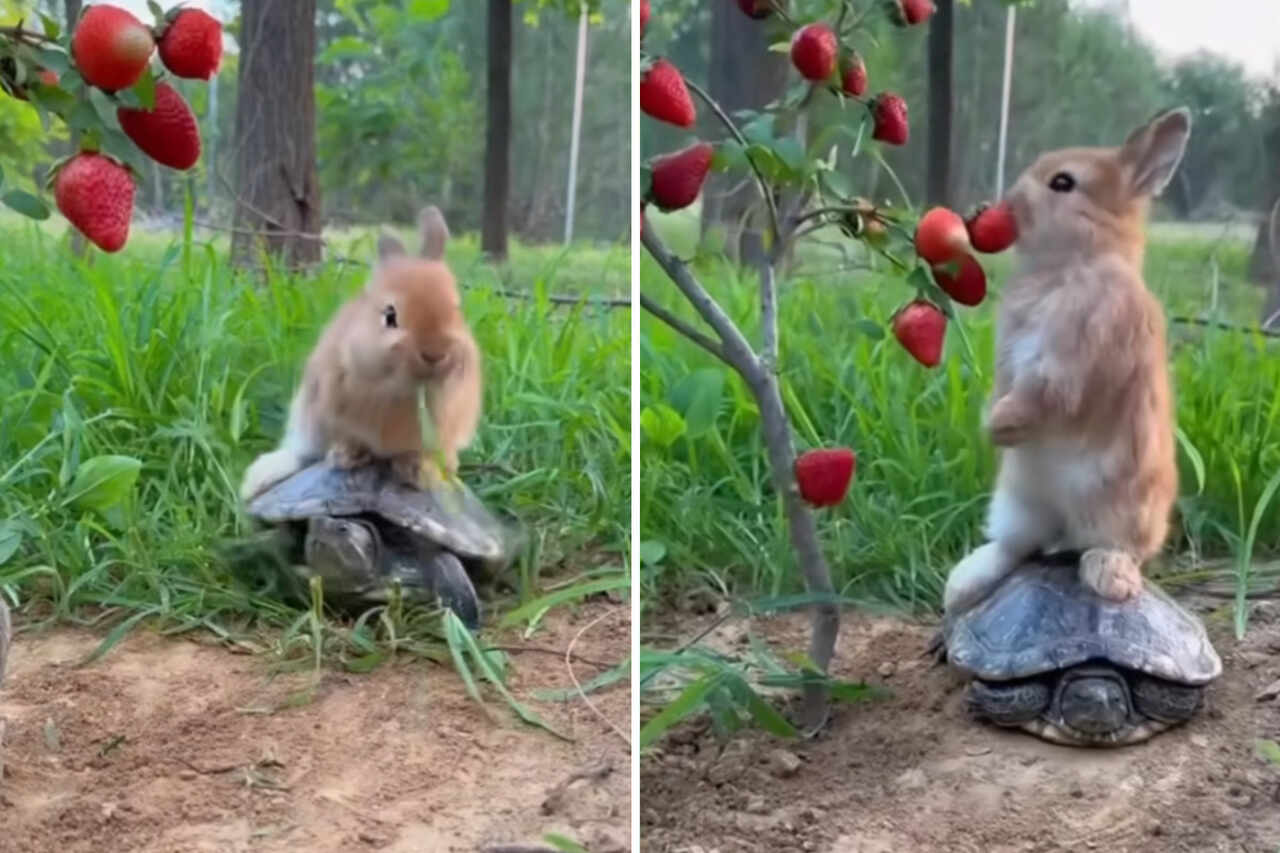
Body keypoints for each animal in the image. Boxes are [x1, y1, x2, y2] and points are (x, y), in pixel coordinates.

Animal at [238, 202, 481, 502]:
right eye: (390, 316)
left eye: (456, 309)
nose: (435, 354)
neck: (410, 390)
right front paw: (347, 456)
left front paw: (419, 471)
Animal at [942, 106, 1187, 614]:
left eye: (1063, 183)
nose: (1008, 202)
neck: (1070, 266)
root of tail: (1066, 527)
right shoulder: (1011, 360)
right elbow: (1006, 389)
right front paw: (992, 427)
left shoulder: (1073, 365)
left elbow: (1045, 399)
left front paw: (1000, 428)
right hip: (1017, 501)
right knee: (1016, 545)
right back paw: (960, 588)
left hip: (1123, 508)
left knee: (1111, 547)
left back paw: (1110, 578)